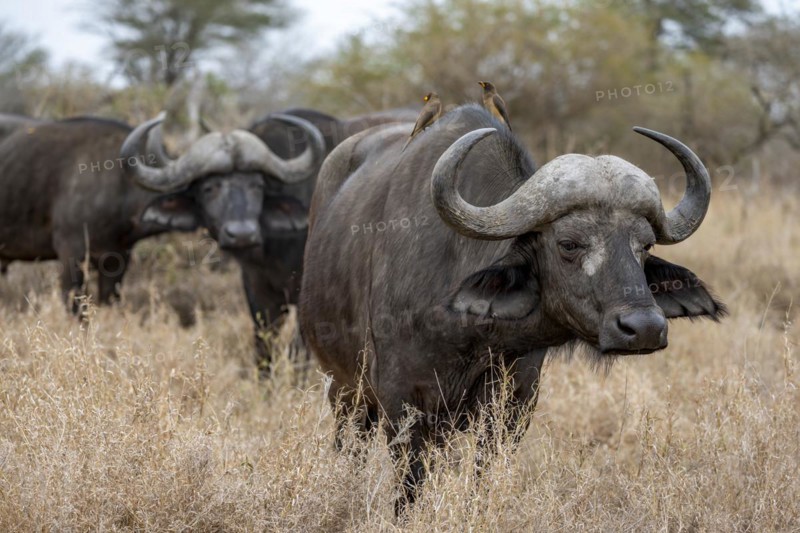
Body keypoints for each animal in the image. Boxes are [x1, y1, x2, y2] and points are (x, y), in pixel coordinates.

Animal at [299, 104, 726, 511]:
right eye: (569, 243)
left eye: (645, 245)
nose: (645, 327)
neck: (471, 334)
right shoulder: (401, 401)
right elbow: (410, 486)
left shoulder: (513, 405)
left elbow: (483, 478)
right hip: (344, 390)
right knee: (351, 448)